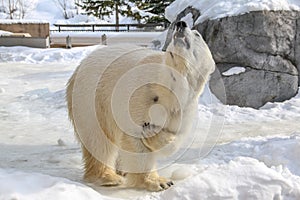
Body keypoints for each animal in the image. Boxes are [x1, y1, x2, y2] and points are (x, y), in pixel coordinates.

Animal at [66, 21, 216, 191]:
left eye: (197, 34)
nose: (181, 23)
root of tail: (79, 68)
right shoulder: (140, 95)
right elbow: (134, 135)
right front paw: (159, 181)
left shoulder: (183, 108)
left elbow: (177, 136)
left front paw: (152, 134)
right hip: (91, 97)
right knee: (99, 139)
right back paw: (109, 177)